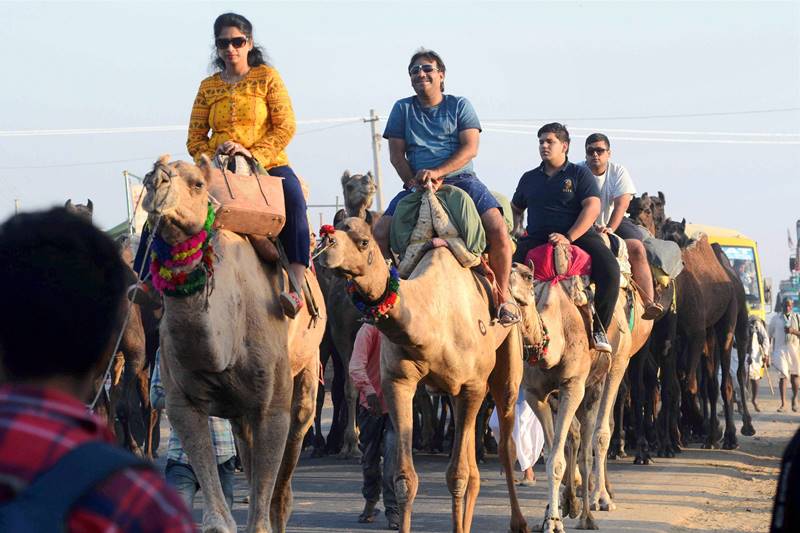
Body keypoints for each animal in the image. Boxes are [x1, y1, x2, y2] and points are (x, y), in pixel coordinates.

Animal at [141, 155, 326, 533]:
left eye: (198, 184)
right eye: (147, 178)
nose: (158, 184)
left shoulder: (273, 406)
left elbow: (261, 518)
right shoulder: (182, 404)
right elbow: (217, 519)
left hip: (306, 369)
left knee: (285, 474)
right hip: (241, 408)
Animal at [317, 189, 528, 533]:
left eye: (363, 241)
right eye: (333, 231)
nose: (324, 245)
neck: (433, 316)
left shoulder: (471, 386)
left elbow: (457, 475)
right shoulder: (399, 382)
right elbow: (405, 478)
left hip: (506, 364)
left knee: (505, 442)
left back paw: (519, 522)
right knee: (473, 468)